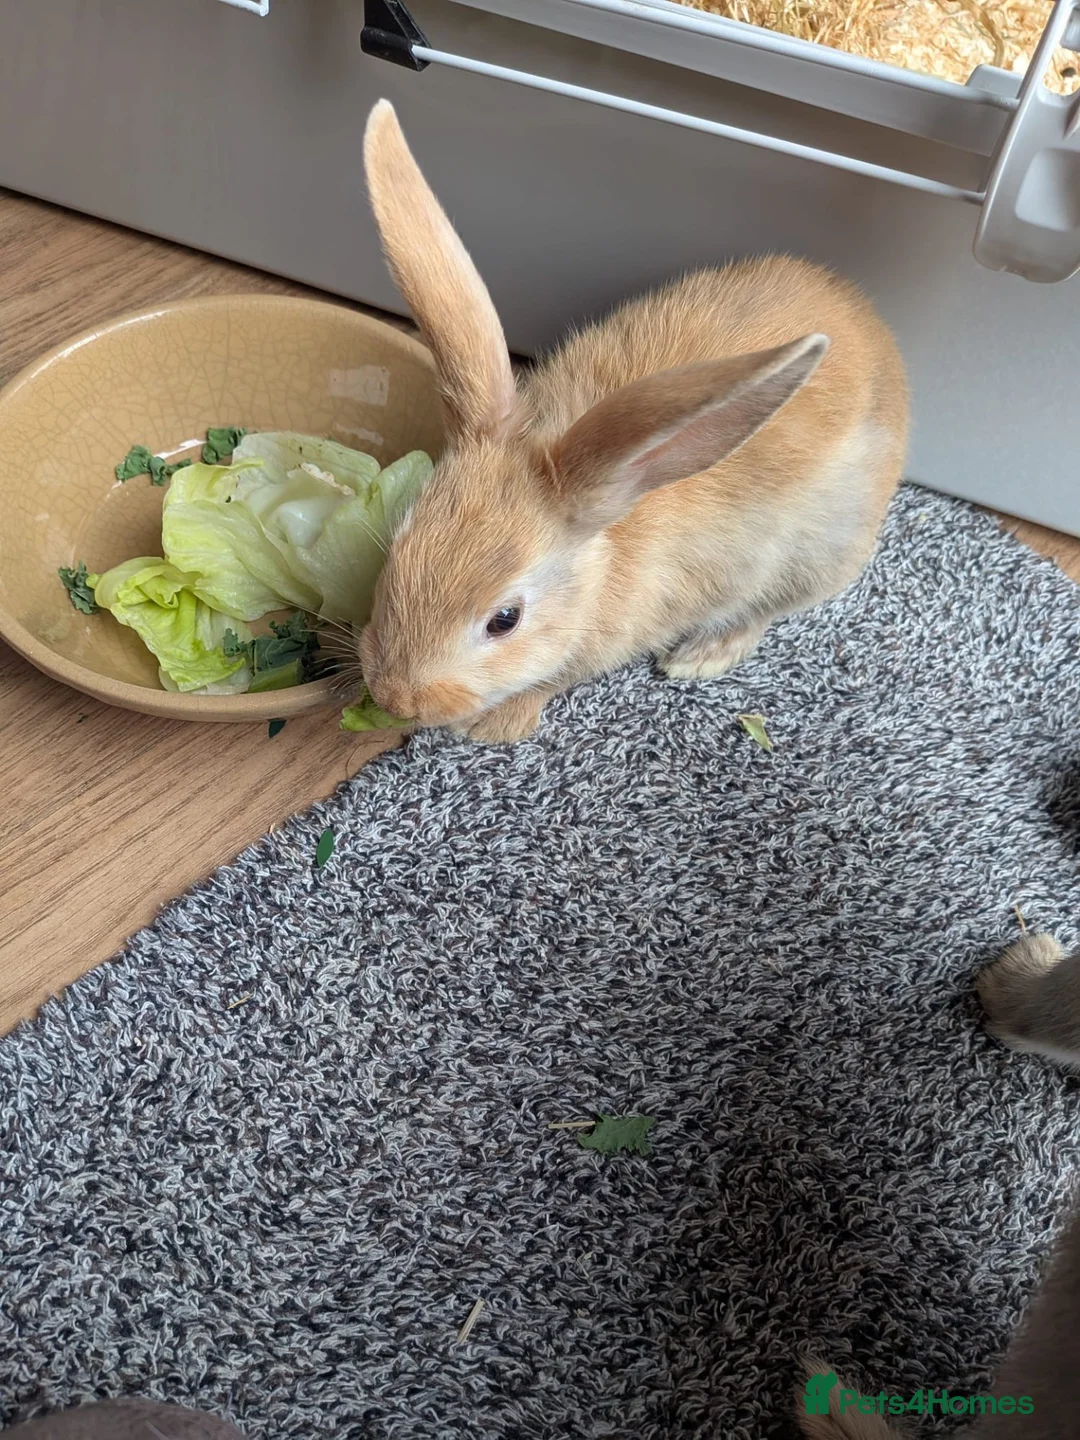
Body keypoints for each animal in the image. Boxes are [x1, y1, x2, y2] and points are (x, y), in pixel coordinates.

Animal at [358, 100, 909, 743]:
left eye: (504, 620)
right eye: (395, 550)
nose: (395, 698)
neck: (602, 561)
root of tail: (876, 330)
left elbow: (554, 679)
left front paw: (491, 727)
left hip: (821, 552)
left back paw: (702, 656)